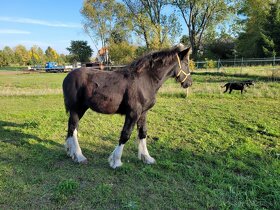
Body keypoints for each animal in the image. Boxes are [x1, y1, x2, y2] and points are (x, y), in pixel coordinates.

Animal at [62, 44, 191, 169]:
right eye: (186, 63)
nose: (189, 83)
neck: (144, 80)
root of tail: (67, 77)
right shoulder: (133, 113)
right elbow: (125, 134)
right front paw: (116, 161)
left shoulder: (143, 113)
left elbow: (143, 132)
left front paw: (147, 158)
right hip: (76, 109)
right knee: (73, 129)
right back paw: (79, 156)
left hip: (80, 109)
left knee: (71, 128)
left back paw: (70, 152)